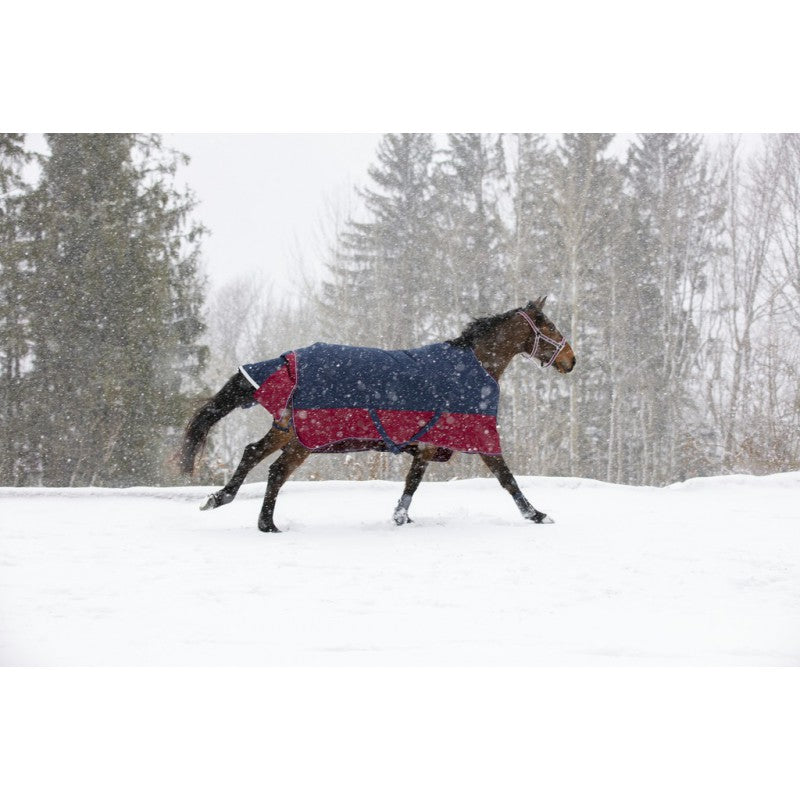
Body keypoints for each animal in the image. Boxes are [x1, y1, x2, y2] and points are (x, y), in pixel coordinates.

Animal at [179, 297, 575, 532]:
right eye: (551, 327)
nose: (572, 360)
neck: (472, 366)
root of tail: (286, 361)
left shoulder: (428, 445)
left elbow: (412, 482)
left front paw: (402, 516)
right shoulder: (474, 437)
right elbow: (507, 479)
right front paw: (537, 514)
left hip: (287, 430)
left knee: (253, 455)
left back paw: (226, 502)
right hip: (304, 438)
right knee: (275, 470)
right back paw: (263, 522)